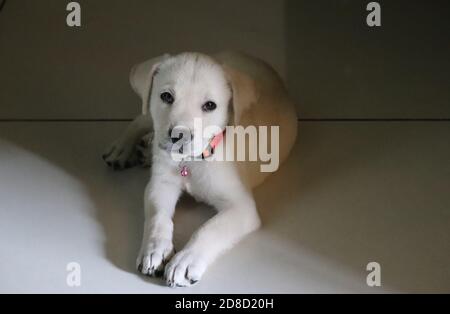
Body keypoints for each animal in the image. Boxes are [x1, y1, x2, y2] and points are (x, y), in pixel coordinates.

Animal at [103, 51, 298, 288]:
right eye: (166, 96)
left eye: (210, 105)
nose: (179, 135)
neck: (191, 161)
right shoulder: (160, 185)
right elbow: (158, 217)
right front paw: (155, 248)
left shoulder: (241, 207)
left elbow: (210, 229)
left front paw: (185, 261)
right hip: (149, 115)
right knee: (141, 118)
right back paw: (122, 149)